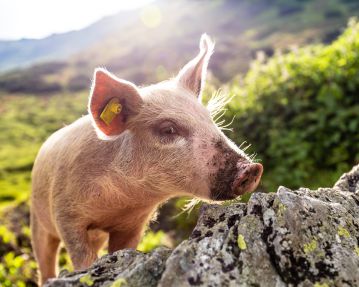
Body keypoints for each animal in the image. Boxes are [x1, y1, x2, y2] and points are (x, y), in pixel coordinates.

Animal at [31, 34, 262, 286]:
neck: (120, 203)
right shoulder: (66, 216)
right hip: (38, 220)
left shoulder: (133, 225)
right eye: (168, 129)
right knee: (45, 259)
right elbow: (82, 258)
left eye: (209, 119)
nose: (252, 168)